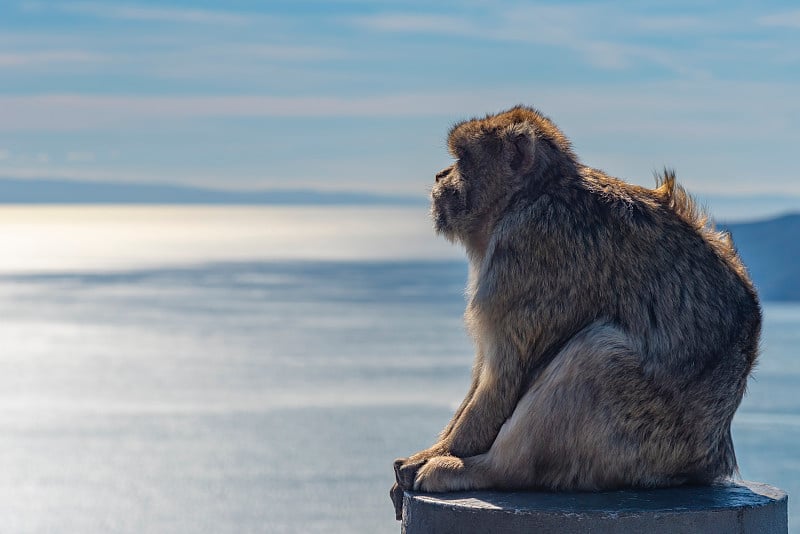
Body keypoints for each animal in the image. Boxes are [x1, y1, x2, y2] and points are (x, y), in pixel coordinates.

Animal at [390, 107, 760, 520]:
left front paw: (438, 454)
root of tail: (711, 458)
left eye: (463, 159)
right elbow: (486, 369)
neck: (533, 195)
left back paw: (483, 469)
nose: (441, 175)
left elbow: (504, 375)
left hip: (648, 442)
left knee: (597, 354)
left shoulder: (528, 251)